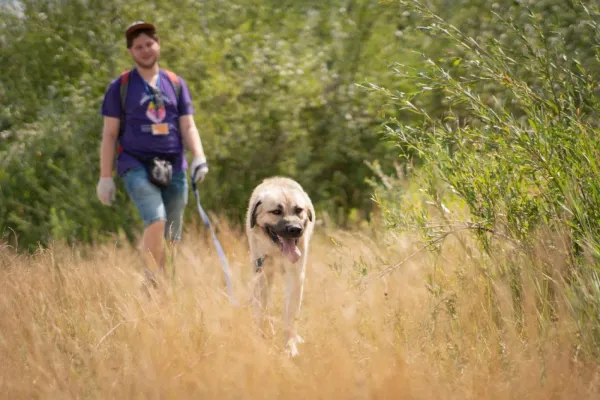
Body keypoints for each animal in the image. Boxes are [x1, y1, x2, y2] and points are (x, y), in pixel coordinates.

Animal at [246, 176, 316, 356]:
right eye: (276, 212)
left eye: (299, 210)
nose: (295, 229)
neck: (277, 251)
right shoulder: (262, 273)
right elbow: (261, 309)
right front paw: (261, 337)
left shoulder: (295, 276)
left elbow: (291, 315)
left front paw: (290, 347)